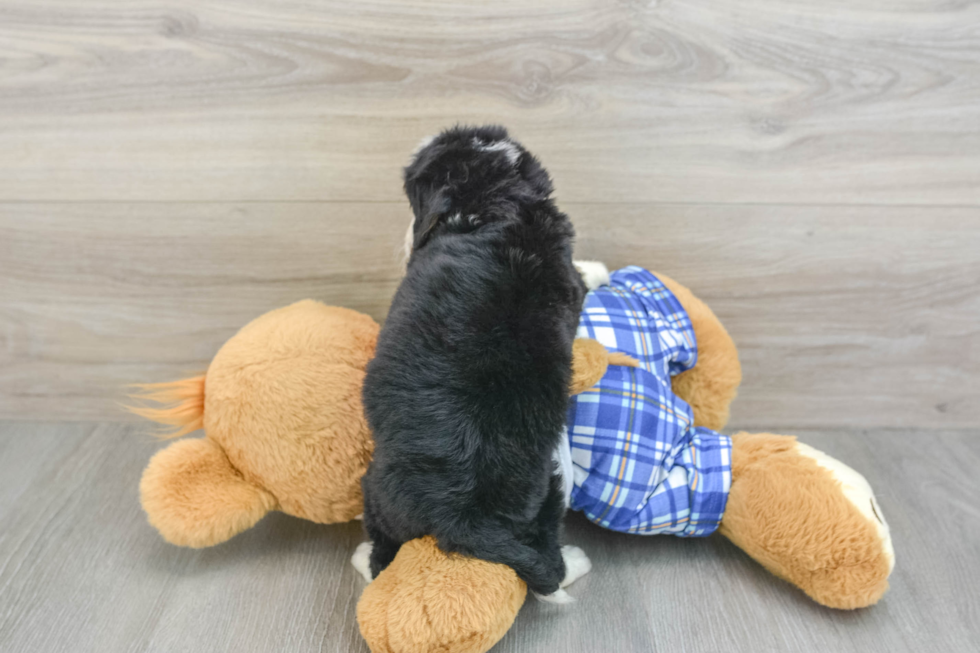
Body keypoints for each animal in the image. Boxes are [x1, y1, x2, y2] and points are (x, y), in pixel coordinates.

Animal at [360, 125, 588, 600]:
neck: (504, 205)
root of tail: (465, 515)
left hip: (376, 490)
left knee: (382, 551)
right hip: (549, 485)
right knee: (549, 557)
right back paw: (573, 561)